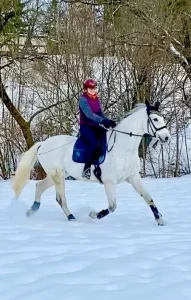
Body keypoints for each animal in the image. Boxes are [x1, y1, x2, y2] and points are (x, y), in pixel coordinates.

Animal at [11, 101, 170, 225]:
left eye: (162, 118)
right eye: (155, 119)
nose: (166, 137)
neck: (123, 147)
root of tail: (43, 144)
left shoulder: (134, 178)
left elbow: (149, 199)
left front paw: (160, 220)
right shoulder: (109, 182)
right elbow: (112, 206)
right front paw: (93, 215)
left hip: (56, 175)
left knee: (39, 186)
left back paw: (32, 210)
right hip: (58, 175)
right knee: (60, 198)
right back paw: (71, 217)